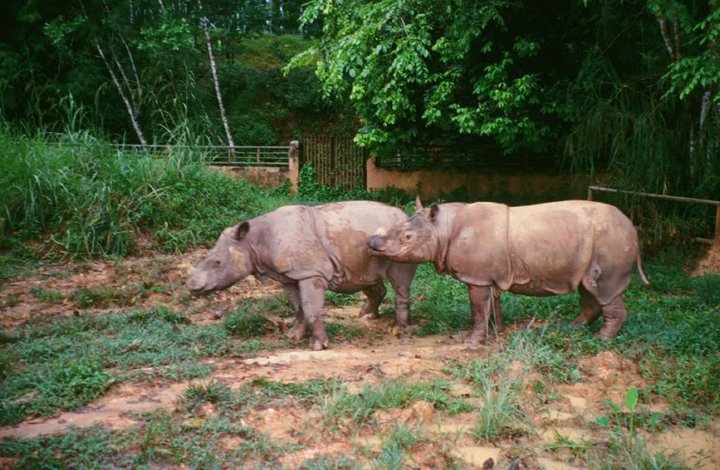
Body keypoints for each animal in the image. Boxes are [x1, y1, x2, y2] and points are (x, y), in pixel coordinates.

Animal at [186, 201, 417, 350]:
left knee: (399, 282)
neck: (253, 242)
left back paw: (400, 330)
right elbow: (297, 306)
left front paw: (318, 346)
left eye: (217, 263)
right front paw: (294, 336)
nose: (192, 286)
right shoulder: (289, 276)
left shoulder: (310, 273)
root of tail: (404, 215)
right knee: (367, 278)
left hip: (401, 243)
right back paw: (368, 317)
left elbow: (310, 307)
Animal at [368, 198, 649, 346]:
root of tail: (633, 229)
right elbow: (490, 305)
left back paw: (602, 340)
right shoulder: (486, 275)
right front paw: (496, 332)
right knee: (587, 287)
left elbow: (478, 307)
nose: (372, 242)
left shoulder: (477, 277)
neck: (443, 229)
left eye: (407, 237)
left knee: (603, 288)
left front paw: (472, 342)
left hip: (611, 240)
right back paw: (572, 328)